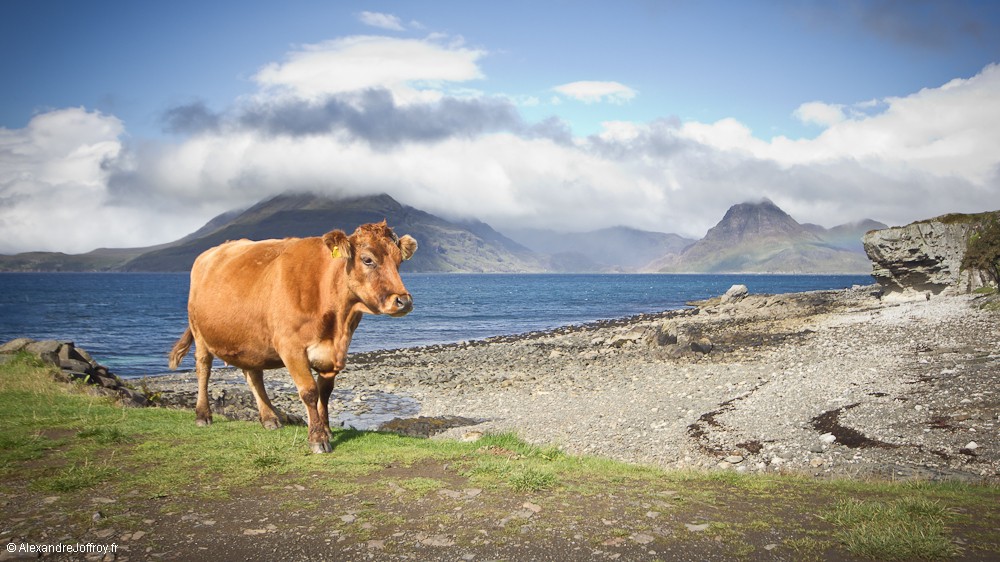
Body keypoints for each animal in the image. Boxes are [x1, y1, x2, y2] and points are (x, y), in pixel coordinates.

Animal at [167, 219, 414, 450]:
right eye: (367, 259)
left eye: (399, 261)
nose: (404, 301)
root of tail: (208, 254)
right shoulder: (291, 348)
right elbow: (309, 391)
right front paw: (317, 438)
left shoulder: (334, 353)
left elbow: (325, 392)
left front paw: (327, 429)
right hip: (199, 332)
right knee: (203, 368)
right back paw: (203, 415)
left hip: (249, 340)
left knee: (253, 375)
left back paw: (269, 418)